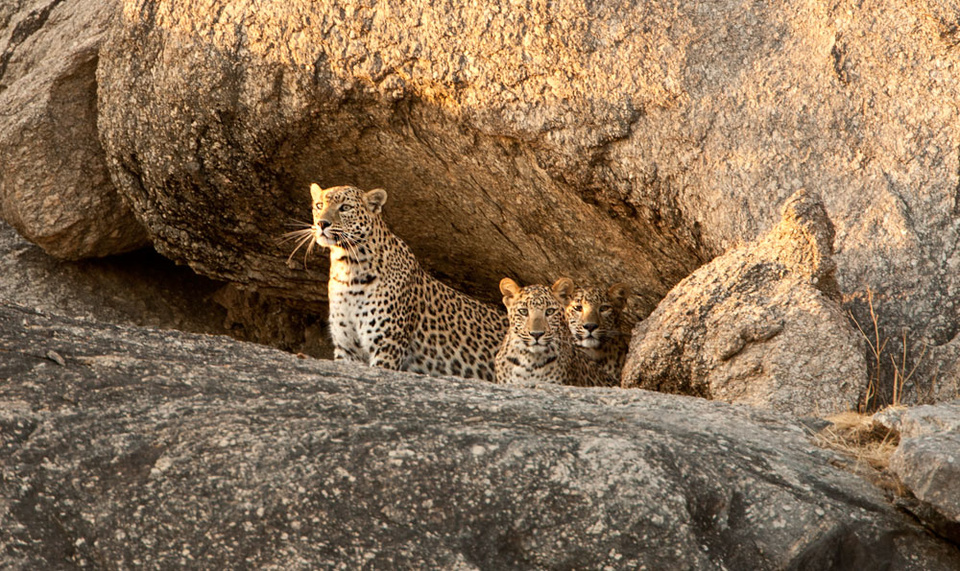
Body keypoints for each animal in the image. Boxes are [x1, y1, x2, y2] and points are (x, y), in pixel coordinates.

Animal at [291, 183, 507, 382]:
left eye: (345, 207)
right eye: (319, 205)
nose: (322, 223)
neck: (348, 268)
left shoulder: (387, 346)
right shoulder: (347, 348)